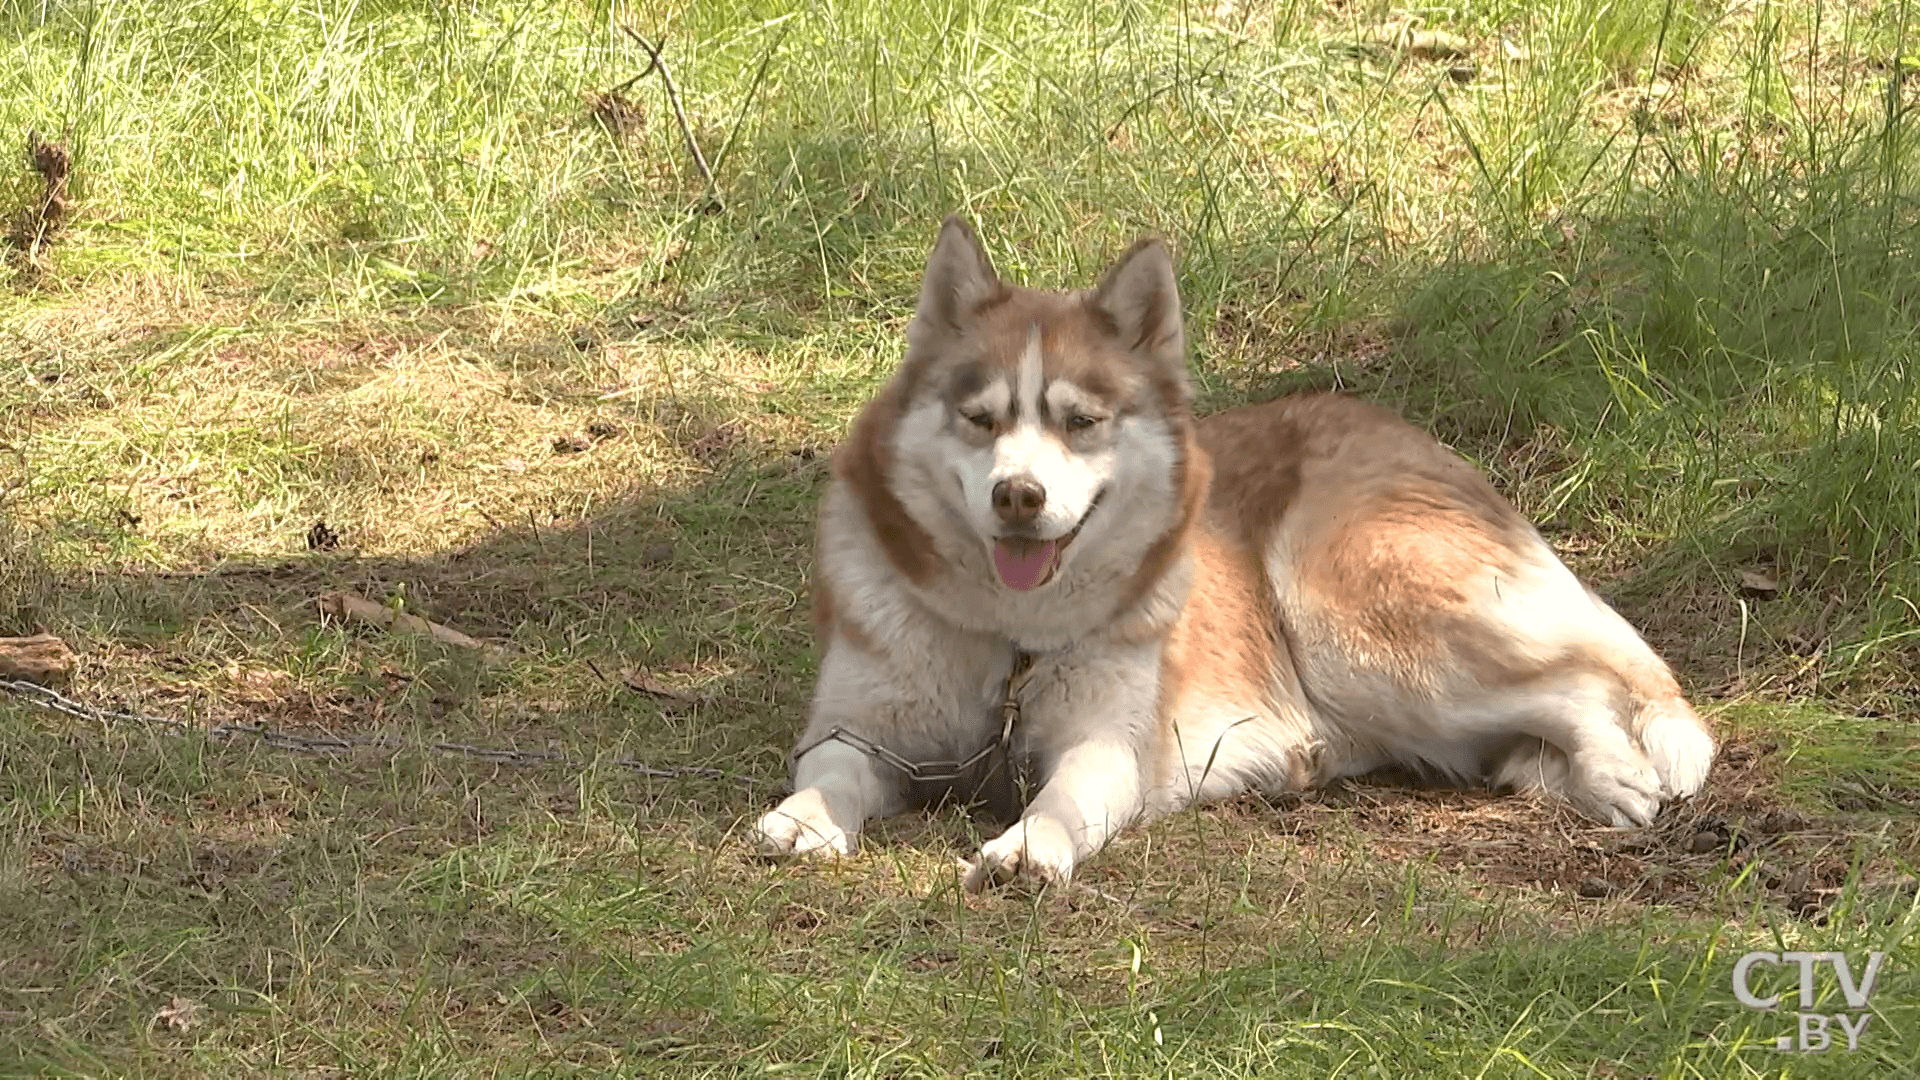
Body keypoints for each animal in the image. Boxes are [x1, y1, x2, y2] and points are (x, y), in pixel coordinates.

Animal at [744, 214, 1712, 887]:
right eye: (980, 419)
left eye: (1080, 422)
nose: (1018, 496)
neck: (1009, 641)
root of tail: (1409, 435)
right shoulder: (858, 726)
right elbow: (832, 769)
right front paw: (806, 817)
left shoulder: (1106, 746)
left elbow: (1062, 799)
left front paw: (1028, 847)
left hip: (1365, 637)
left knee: (1577, 684)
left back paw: (1614, 774)